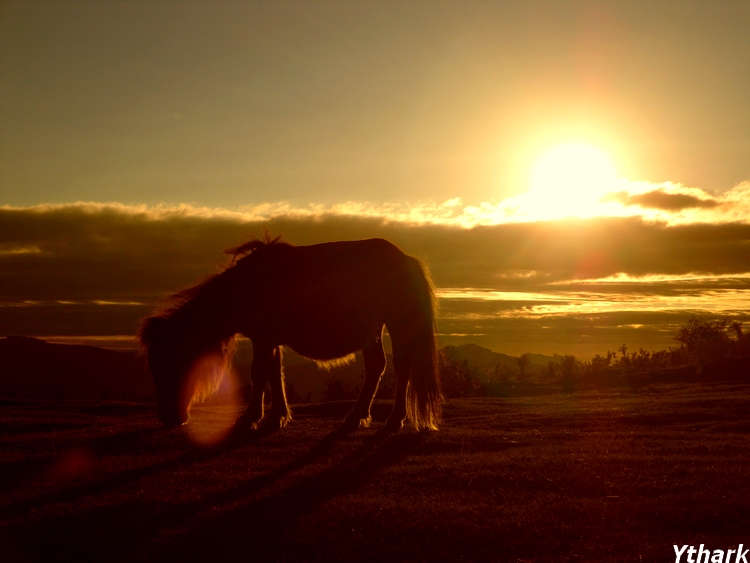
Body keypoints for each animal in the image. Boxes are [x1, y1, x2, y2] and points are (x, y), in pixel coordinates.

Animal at [138, 236, 444, 434]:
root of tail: (406, 259)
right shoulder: (269, 339)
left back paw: (394, 419)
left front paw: (250, 418)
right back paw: (357, 416)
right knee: (376, 366)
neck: (246, 288)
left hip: (397, 322)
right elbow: (275, 373)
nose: (170, 418)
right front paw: (277, 417)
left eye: (166, 364)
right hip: (373, 330)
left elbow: (259, 373)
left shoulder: (264, 339)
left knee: (401, 368)